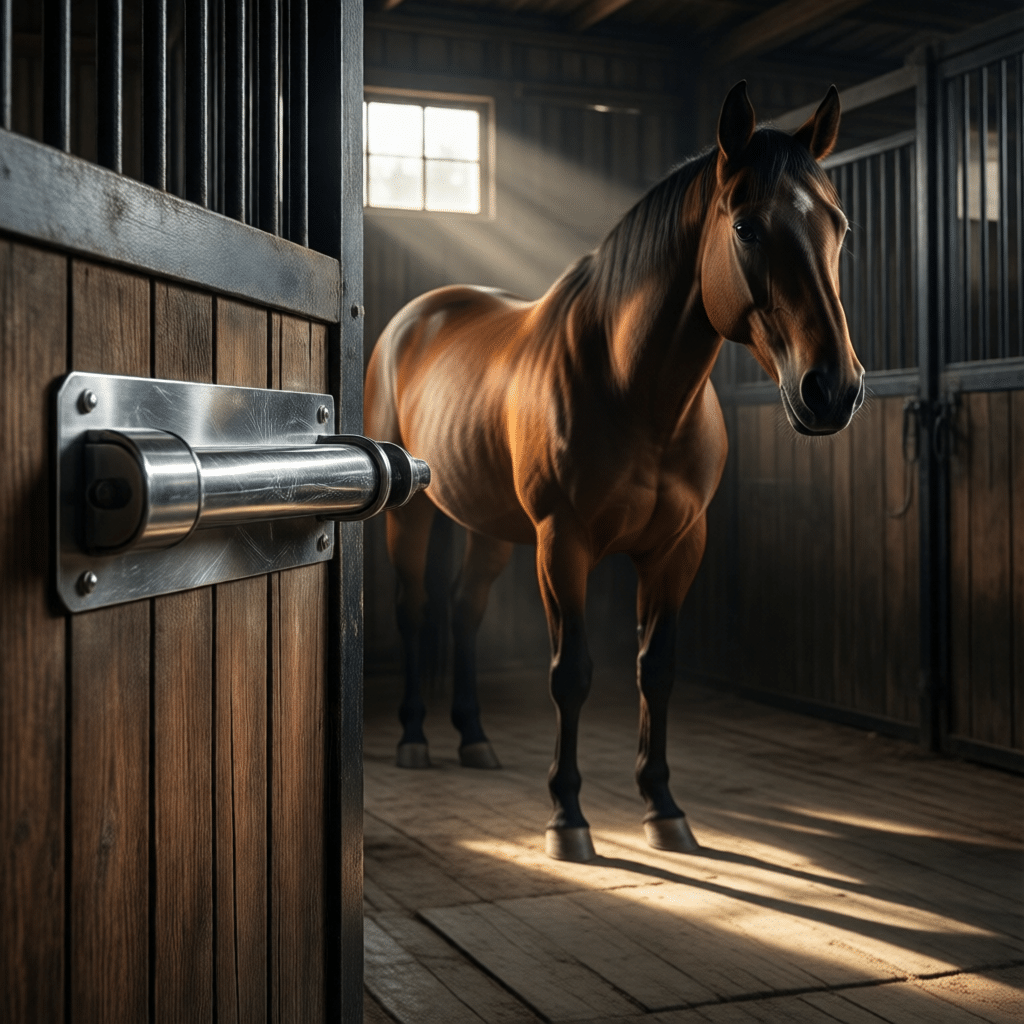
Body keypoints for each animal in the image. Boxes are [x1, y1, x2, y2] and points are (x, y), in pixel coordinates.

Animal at [364, 81, 864, 863]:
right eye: (747, 228)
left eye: (838, 225)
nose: (833, 390)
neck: (636, 391)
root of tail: (415, 318)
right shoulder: (562, 544)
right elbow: (571, 673)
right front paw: (567, 818)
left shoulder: (678, 547)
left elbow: (655, 669)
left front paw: (663, 808)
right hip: (411, 514)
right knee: (415, 610)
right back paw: (414, 737)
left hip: (490, 527)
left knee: (465, 608)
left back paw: (473, 737)